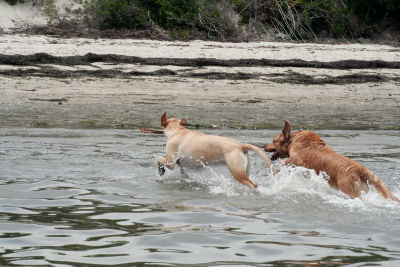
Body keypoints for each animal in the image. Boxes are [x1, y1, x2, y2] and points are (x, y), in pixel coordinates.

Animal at [264, 120, 398, 202]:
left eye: (273, 140)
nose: (263, 146)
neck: (294, 139)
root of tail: (361, 169)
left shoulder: (296, 160)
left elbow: (281, 164)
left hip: (349, 191)